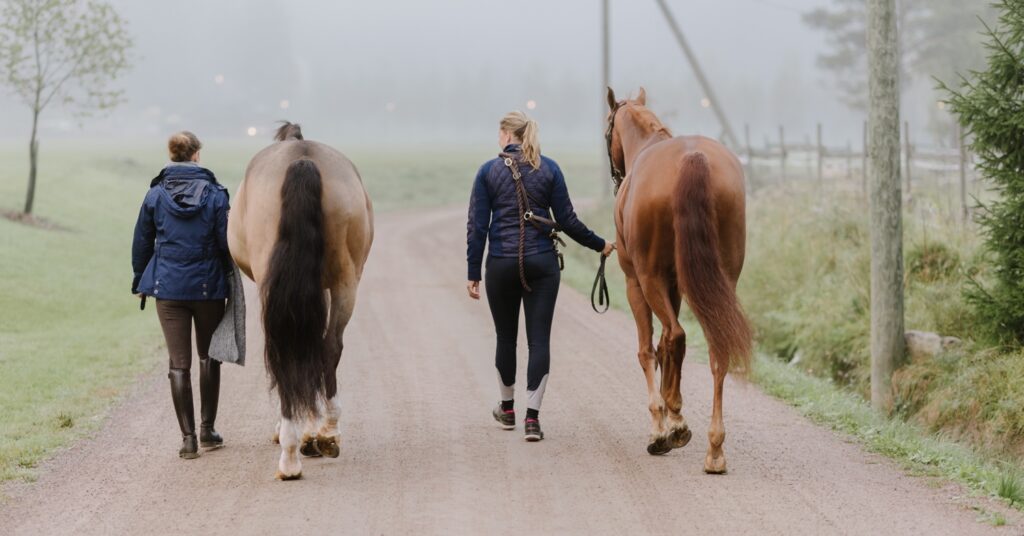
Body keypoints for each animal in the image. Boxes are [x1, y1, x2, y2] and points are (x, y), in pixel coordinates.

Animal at [230, 122, 374, 481]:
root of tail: (302, 158)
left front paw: (302, 431)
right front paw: (313, 432)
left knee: (287, 352)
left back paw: (295, 447)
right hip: (346, 282)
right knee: (326, 347)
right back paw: (321, 436)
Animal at [598, 87, 753, 473]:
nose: (616, 176)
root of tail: (693, 158)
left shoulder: (636, 283)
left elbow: (648, 348)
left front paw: (662, 424)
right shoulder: (676, 286)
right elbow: (664, 345)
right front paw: (671, 414)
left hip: (649, 278)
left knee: (677, 337)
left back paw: (677, 425)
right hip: (719, 281)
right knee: (715, 349)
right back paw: (715, 448)